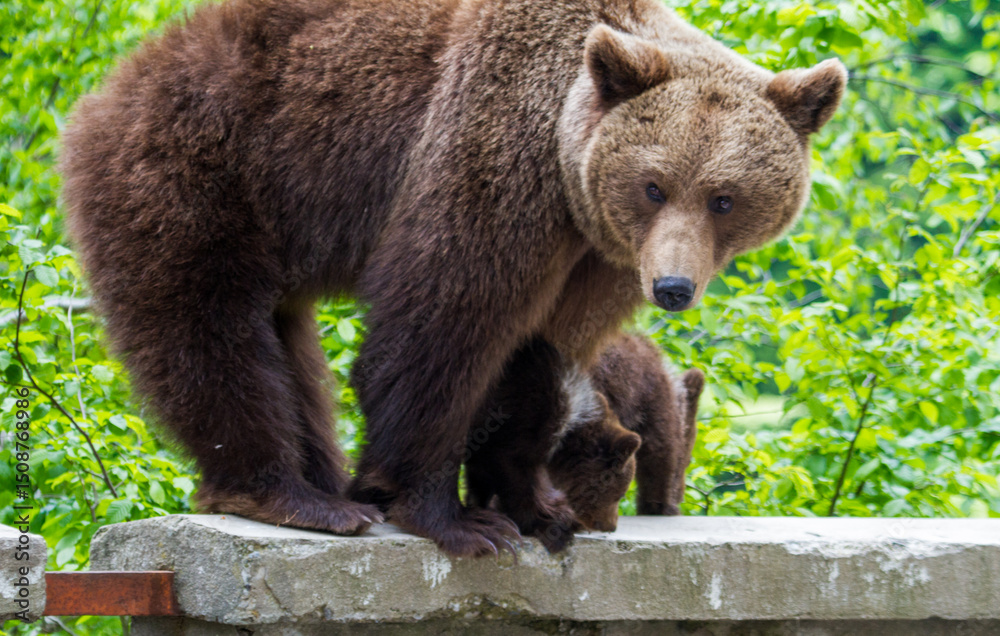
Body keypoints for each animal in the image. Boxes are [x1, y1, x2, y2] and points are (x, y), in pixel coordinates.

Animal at [60, 0, 846, 557]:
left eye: (725, 198)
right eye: (654, 185)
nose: (675, 288)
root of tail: (108, 89)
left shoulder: (601, 255)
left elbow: (538, 361)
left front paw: (536, 508)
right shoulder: (493, 159)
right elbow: (442, 329)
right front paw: (456, 519)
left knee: (291, 352)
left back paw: (330, 482)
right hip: (199, 174)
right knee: (210, 336)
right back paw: (296, 496)